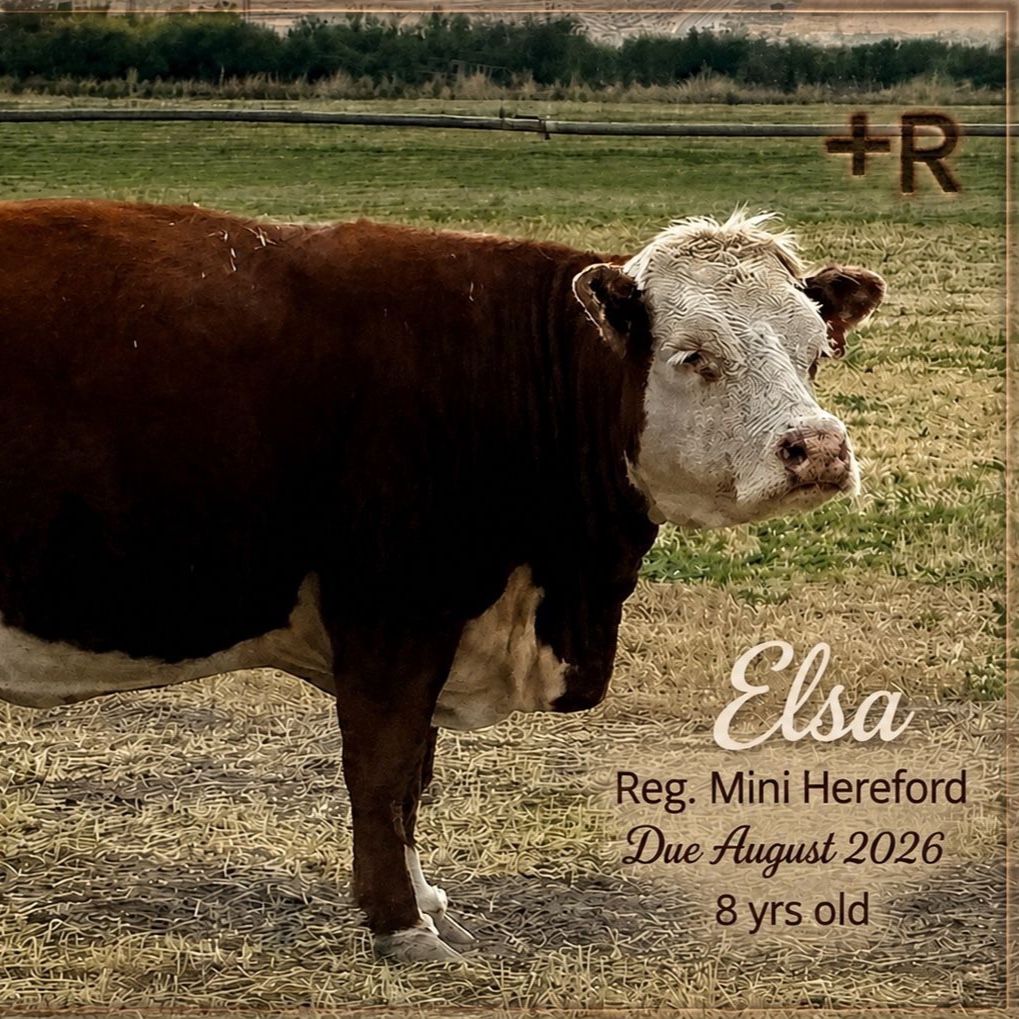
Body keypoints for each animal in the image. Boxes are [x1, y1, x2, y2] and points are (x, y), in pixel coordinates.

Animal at [0, 200, 884, 961]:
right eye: (693, 354)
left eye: (814, 353)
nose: (818, 447)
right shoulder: (394, 617)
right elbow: (383, 769)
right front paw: (400, 921)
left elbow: (413, 779)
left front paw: (424, 901)